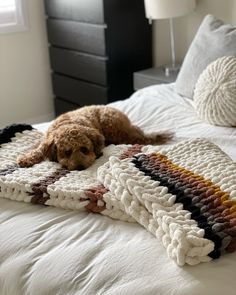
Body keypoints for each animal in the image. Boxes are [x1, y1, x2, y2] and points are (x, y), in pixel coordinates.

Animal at [16, 106, 171, 171]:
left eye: (84, 149)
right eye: (67, 152)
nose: (80, 167)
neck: (68, 123)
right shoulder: (46, 140)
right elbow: (38, 149)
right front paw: (27, 158)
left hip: (111, 125)